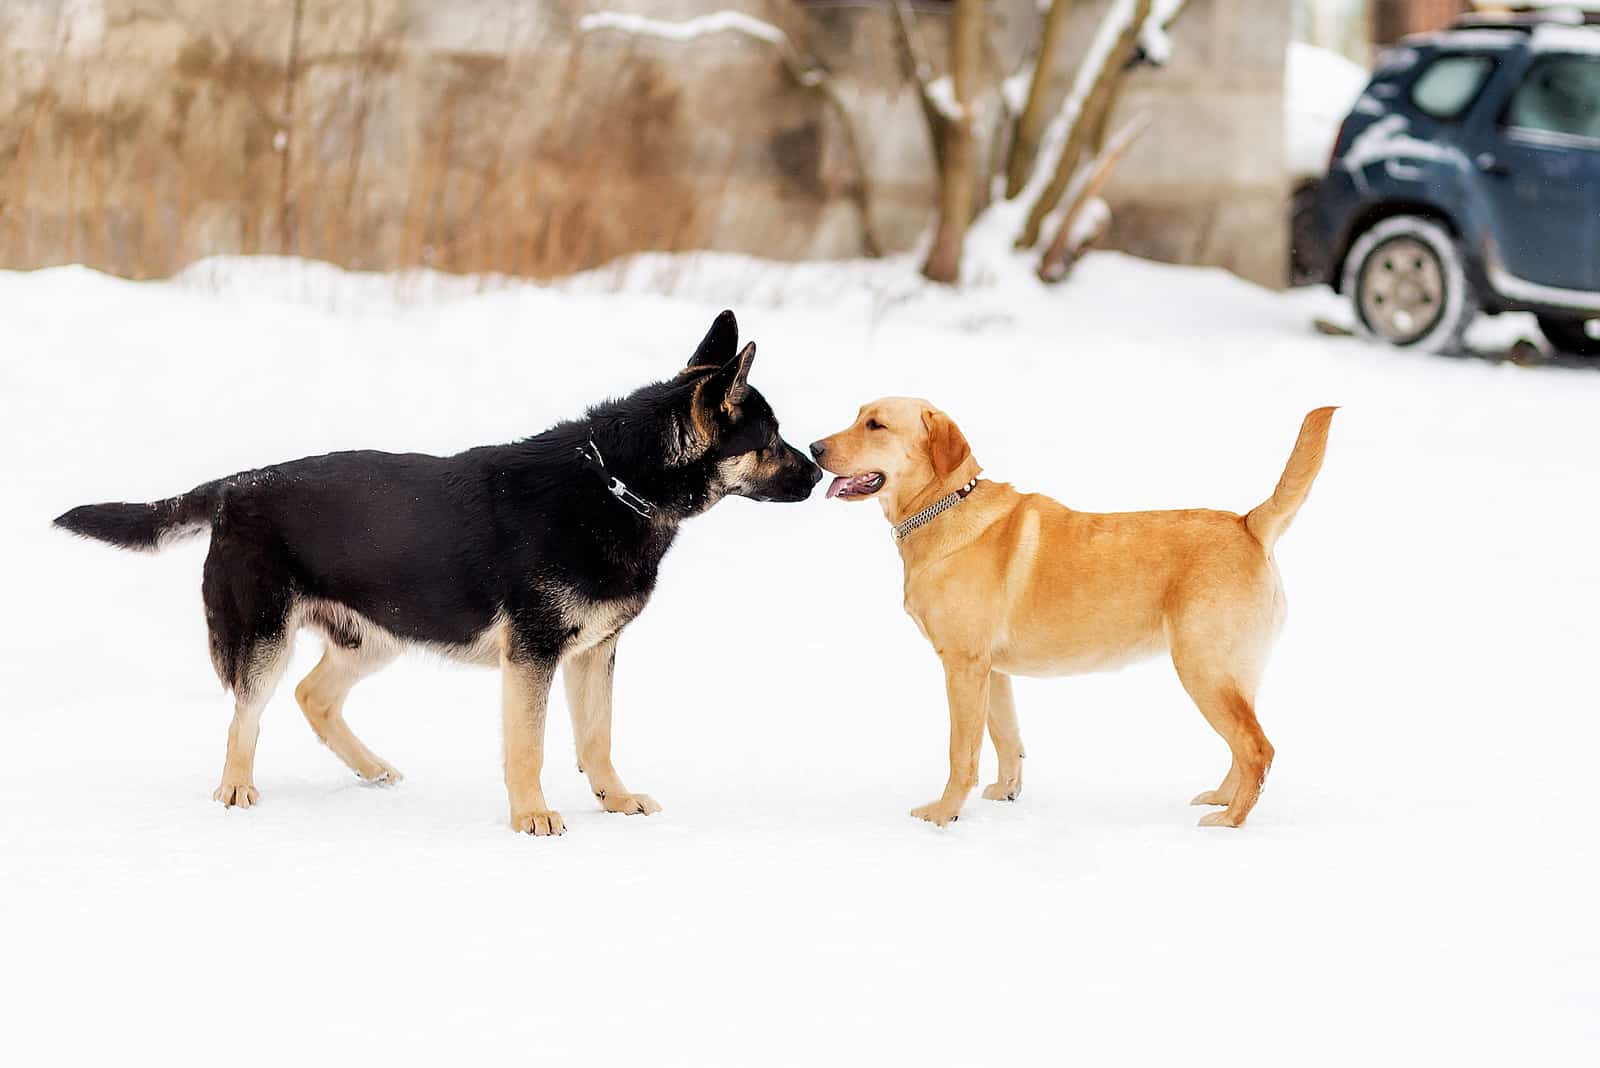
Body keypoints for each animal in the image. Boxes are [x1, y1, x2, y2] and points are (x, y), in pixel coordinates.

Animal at [56, 308, 819, 831]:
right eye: (772, 440)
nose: (816, 469)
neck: (618, 484)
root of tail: (236, 486)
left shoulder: (593, 654)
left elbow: (597, 738)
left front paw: (615, 799)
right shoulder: (534, 657)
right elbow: (530, 746)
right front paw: (531, 816)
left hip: (378, 636)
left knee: (312, 696)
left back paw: (370, 769)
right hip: (266, 638)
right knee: (247, 715)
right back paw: (236, 789)